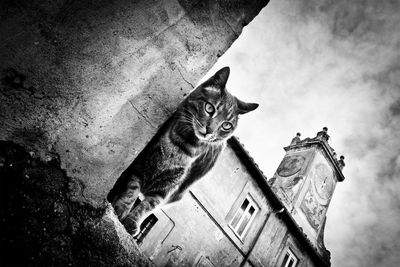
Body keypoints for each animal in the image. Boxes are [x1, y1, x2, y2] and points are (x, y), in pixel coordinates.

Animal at [108, 67, 260, 237]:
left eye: (226, 125)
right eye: (209, 108)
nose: (209, 131)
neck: (183, 145)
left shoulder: (170, 187)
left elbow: (148, 205)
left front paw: (133, 221)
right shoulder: (141, 164)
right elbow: (131, 190)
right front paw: (120, 210)